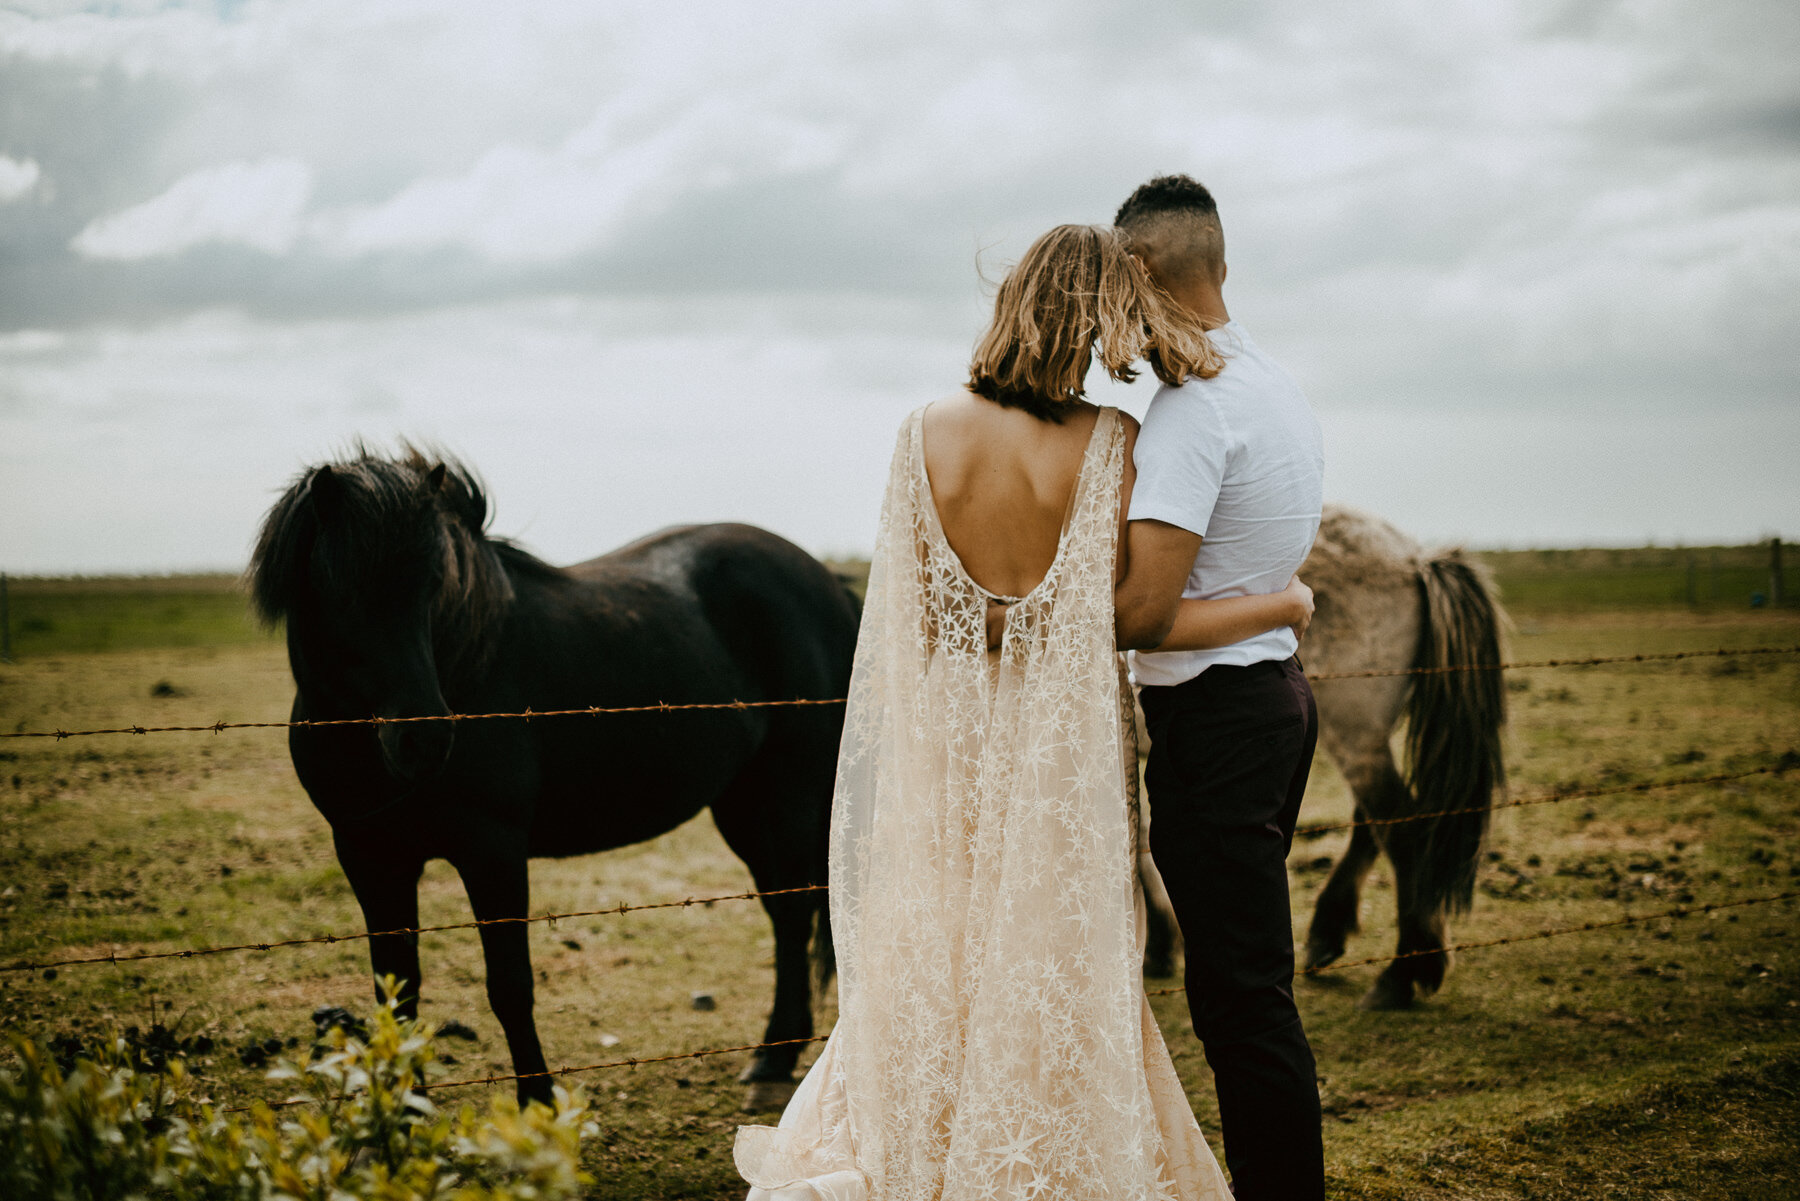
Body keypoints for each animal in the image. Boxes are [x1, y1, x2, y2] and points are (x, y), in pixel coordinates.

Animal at [248, 450, 856, 1109]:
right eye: (340, 588)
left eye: (434, 584)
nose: (424, 738)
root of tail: (829, 582)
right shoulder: (369, 855)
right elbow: (398, 988)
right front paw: (405, 1109)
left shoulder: (492, 851)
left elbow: (510, 985)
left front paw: (536, 1105)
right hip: (742, 806)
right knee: (783, 910)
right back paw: (776, 1053)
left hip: (790, 795)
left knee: (793, 912)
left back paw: (772, 1058)